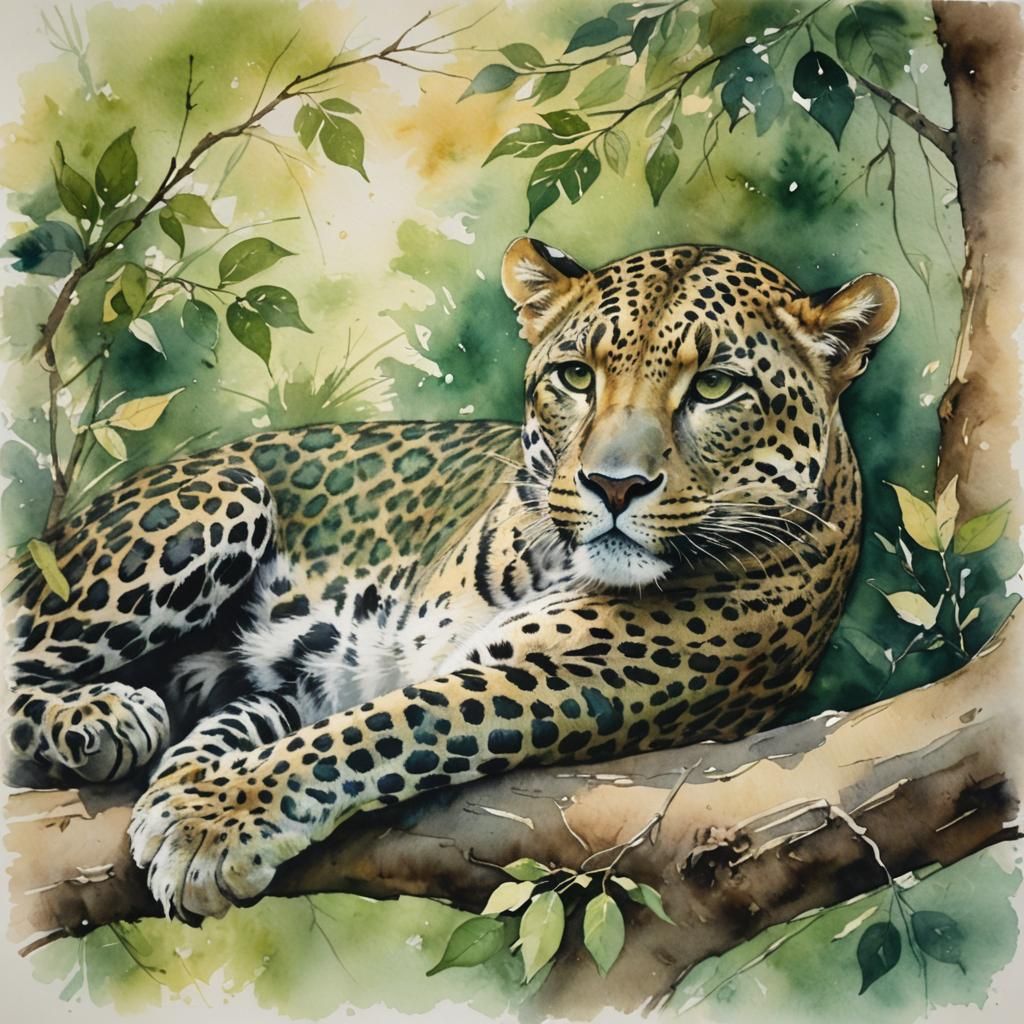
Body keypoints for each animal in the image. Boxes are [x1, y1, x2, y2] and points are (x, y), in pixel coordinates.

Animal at [3, 237, 899, 922]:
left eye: (714, 387)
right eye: (577, 377)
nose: (613, 487)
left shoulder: (547, 679)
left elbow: (366, 734)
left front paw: (201, 814)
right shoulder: (361, 666)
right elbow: (328, 725)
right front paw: (191, 795)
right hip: (226, 494)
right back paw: (98, 715)